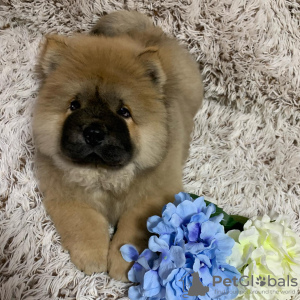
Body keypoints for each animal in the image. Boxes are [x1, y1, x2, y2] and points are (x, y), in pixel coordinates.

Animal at [32, 9, 203, 282]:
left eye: (124, 112)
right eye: (74, 105)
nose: (93, 132)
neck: (104, 174)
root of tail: (151, 31)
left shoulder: (151, 198)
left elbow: (132, 230)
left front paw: (126, 265)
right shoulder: (67, 195)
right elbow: (84, 224)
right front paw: (93, 258)